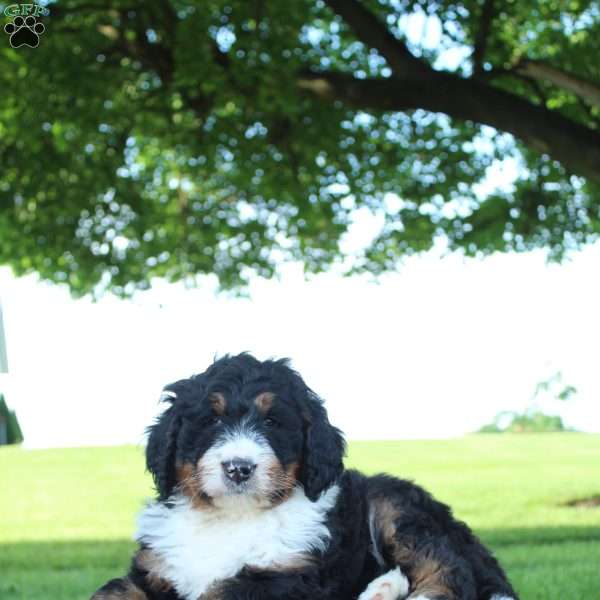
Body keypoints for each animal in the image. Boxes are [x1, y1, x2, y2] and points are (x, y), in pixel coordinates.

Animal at [91, 354, 516, 596]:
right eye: (211, 420)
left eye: (273, 422)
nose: (239, 468)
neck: (232, 519)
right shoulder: (154, 570)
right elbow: (111, 592)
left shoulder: (287, 576)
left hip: (393, 505)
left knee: (448, 571)